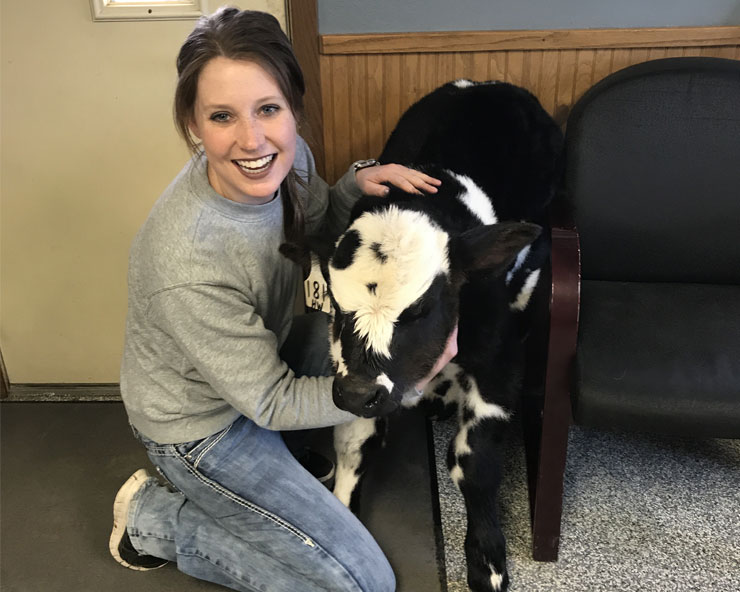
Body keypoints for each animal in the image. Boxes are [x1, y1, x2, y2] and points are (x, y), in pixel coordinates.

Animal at [318, 80, 560, 592]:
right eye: (336, 305)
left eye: (421, 310)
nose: (358, 393)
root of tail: (490, 84)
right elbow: (352, 444)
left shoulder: (498, 364)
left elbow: (474, 462)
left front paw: (487, 560)